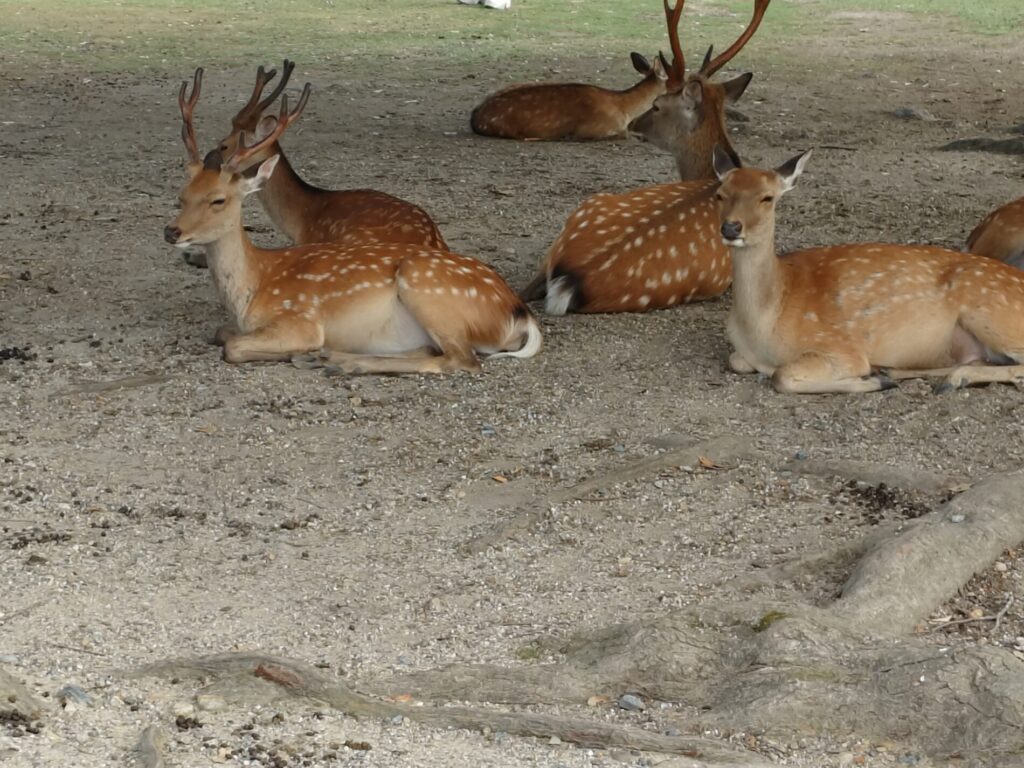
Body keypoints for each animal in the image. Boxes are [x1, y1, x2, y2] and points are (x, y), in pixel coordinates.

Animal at [712, 145, 1024, 395]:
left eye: (767, 198)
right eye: (720, 195)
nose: (730, 227)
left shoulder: (841, 348)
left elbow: (782, 376)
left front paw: (871, 380)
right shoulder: (743, 355)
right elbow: (737, 361)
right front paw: (880, 376)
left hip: (994, 314)